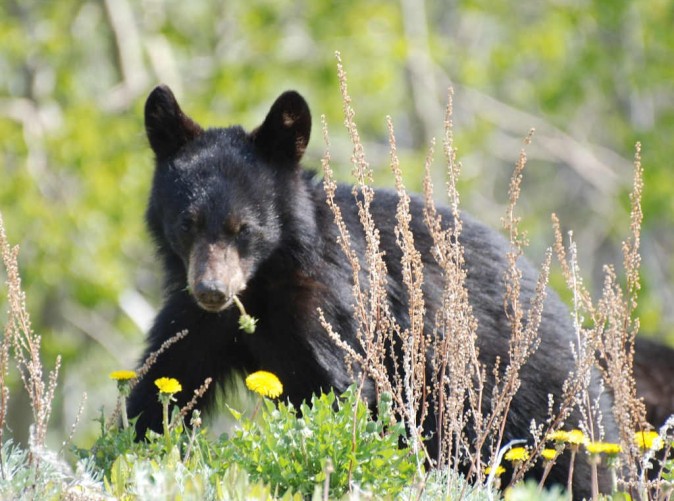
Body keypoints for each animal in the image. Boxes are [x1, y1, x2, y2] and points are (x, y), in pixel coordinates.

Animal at [127, 85, 617, 498]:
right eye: (187, 223)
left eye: (243, 228)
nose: (212, 289)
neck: (263, 283)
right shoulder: (195, 321)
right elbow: (164, 382)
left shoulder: (336, 305)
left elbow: (344, 396)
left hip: (535, 405)